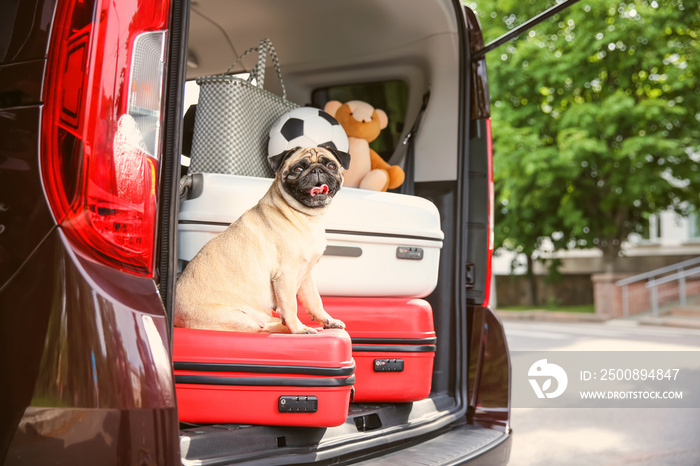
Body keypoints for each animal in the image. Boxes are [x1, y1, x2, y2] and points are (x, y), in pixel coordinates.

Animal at [175, 145, 350, 332]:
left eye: (331, 166)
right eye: (298, 169)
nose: (317, 170)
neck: (307, 216)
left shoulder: (306, 275)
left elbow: (315, 300)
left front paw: (327, 321)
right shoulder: (285, 275)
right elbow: (291, 306)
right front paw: (298, 329)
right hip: (239, 319)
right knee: (260, 328)